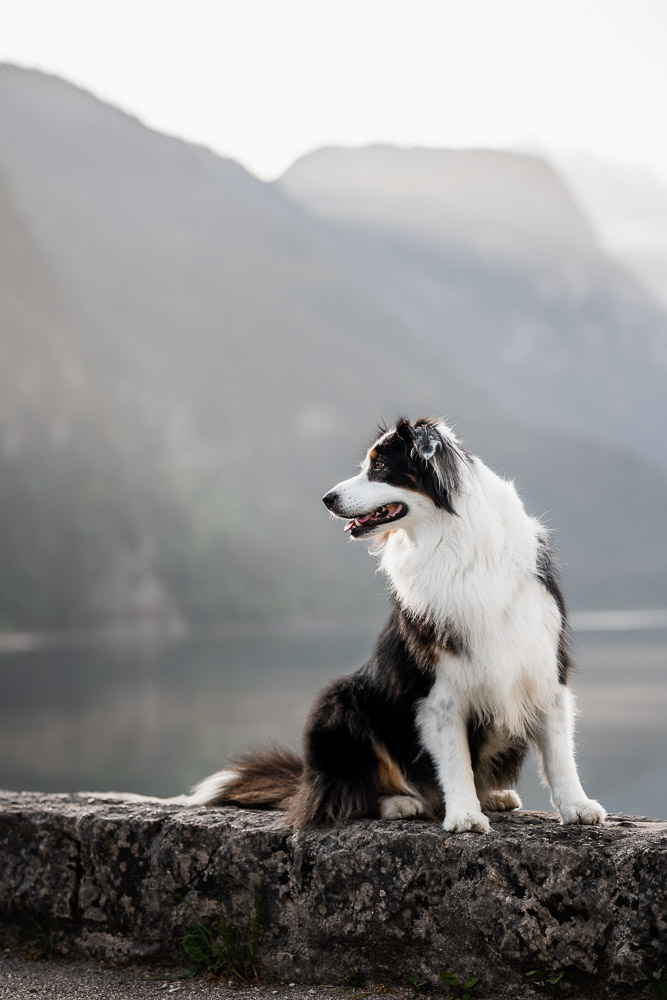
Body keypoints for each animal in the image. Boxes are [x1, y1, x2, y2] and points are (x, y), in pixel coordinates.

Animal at [190, 418, 608, 832]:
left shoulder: (543, 664)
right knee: (347, 795)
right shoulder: (437, 687)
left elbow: (559, 752)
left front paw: (577, 806)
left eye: (378, 467)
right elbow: (455, 759)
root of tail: (306, 781)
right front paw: (464, 815)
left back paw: (491, 796)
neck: (455, 541)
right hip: (339, 702)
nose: (327, 498)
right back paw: (401, 803)